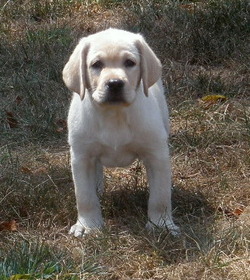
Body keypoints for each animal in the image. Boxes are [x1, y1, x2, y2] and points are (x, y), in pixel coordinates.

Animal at [62, 28, 180, 237]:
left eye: (130, 63)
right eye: (96, 64)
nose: (115, 83)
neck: (114, 114)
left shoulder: (156, 155)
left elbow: (160, 196)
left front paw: (161, 225)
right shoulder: (81, 157)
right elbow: (85, 197)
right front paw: (88, 225)